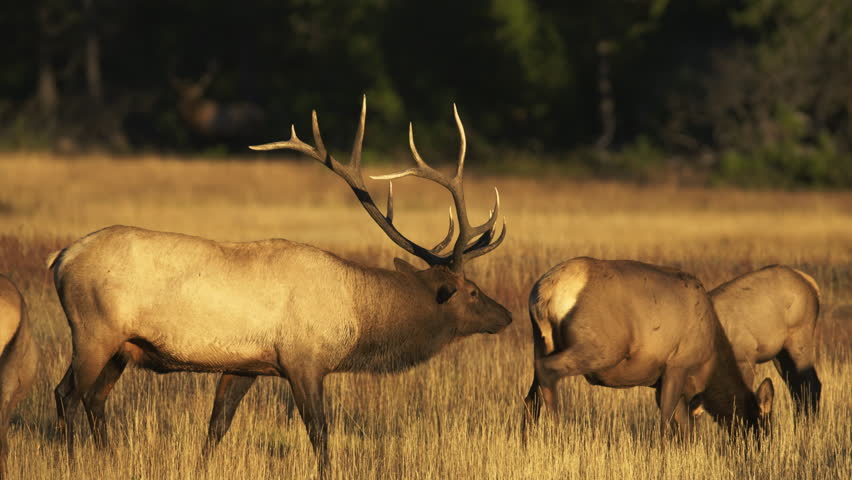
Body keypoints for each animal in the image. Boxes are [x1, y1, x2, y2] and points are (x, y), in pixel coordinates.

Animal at [47, 97, 510, 477]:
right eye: (471, 290)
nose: (506, 314)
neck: (358, 318)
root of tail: (60, 259)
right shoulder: (303, 359)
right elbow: (319, 432)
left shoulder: (247, 364)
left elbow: (217, 424)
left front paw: (200, 467)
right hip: (93, 330)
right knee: (67, 393)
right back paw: (70, 463)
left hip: (122, 347)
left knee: (95, 399)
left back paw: (109, 460)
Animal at [521, 258, 775, 445]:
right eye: (762, 427)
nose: (759, 449)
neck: (709, 358)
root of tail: (545, 294)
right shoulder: (677, 365)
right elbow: (667, 422)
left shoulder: (661, 381)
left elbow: (683, 427)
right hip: (600, 347)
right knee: (547, 371)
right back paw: (558, 433)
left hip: (541, 343)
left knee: (531, 394)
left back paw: (526, 442)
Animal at [708, 265, 821, 416]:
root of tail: (811, 284)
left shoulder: (745, 359)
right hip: (781, 355)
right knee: (797, 387)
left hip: (800, 339)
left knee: (810, 385)